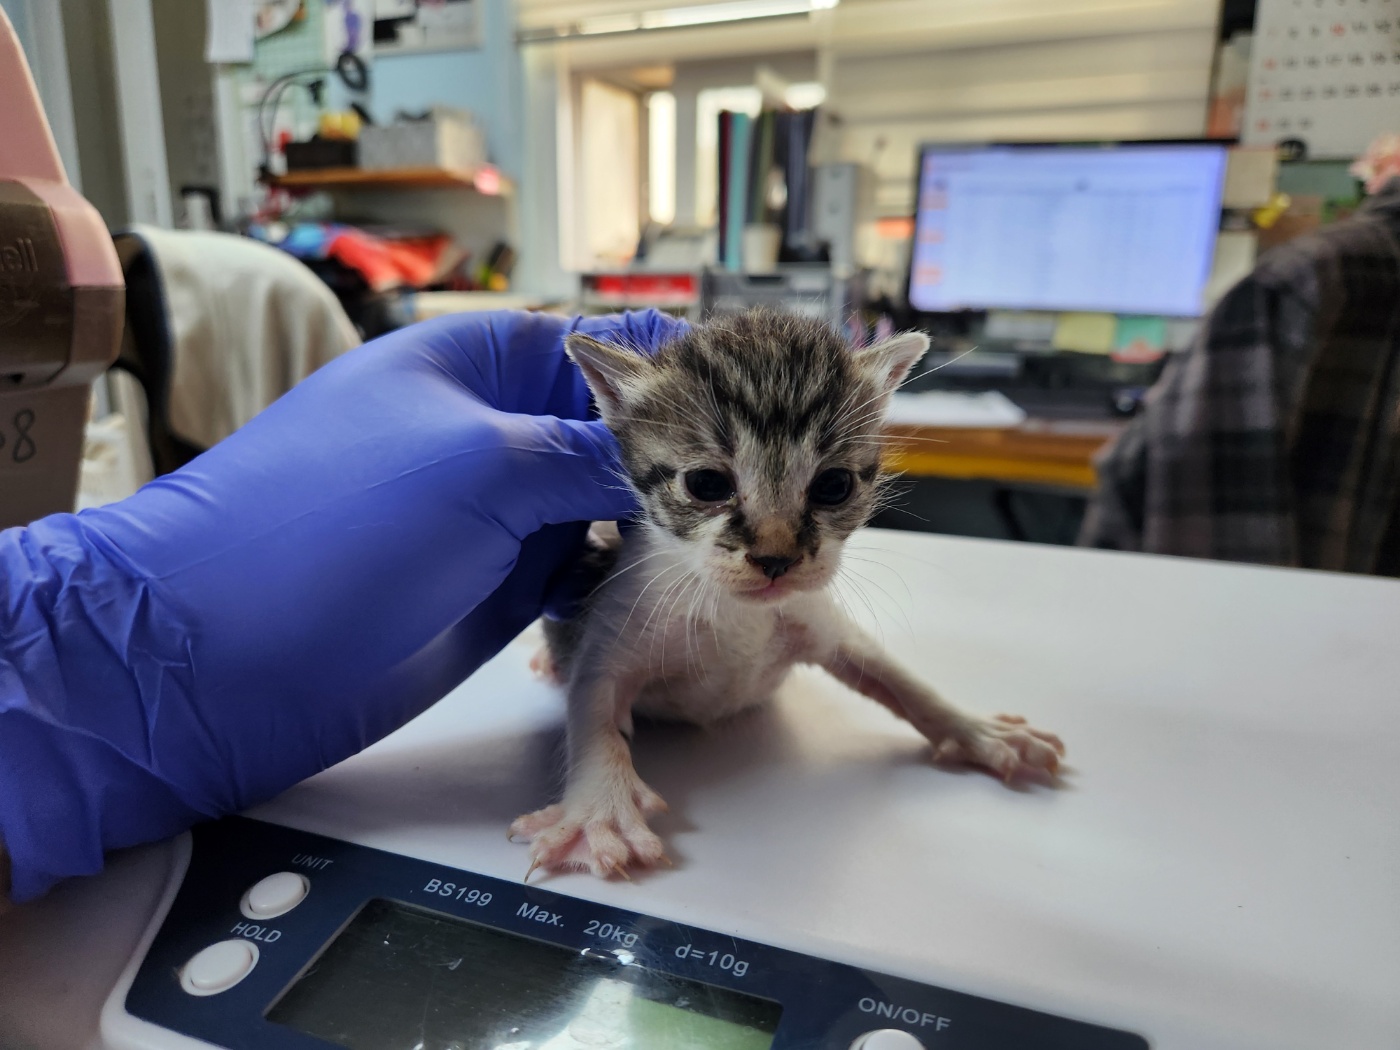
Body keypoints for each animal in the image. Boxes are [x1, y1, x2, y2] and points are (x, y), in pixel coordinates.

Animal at [515, 310, 1058, 879]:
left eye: (834, 486)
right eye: (707, 483)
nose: (775, 558)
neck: (735, 611)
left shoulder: (815, 618)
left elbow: (897, 677)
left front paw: (977, 730)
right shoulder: (619, 612)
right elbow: (593, 707)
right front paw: (599, 811)